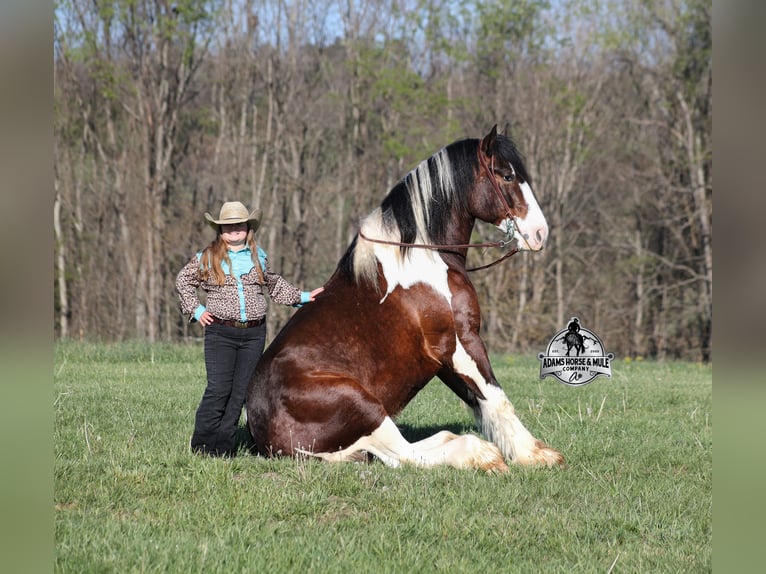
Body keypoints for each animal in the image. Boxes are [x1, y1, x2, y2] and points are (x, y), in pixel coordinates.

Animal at [246, 126, 564, 473]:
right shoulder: (462, 342)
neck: (423, 259)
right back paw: (477, 453)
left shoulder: (445, 360)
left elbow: (481, 403)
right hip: (364, 405)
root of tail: (263, 435)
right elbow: (496, 398)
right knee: (405, 455)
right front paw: (533, 454)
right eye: (506, 176)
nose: (540, 233)